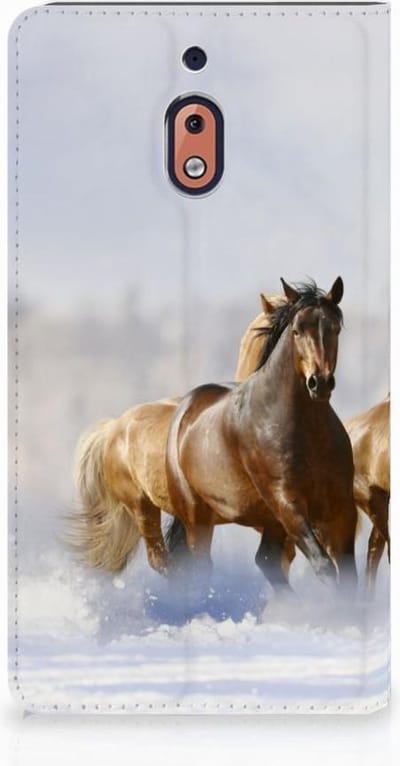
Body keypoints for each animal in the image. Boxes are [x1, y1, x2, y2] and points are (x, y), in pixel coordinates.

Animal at [165, 277, 358, 593]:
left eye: (334, 328)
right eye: (297, 330)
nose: (319, 383)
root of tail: (185, 409)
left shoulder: (341, 507)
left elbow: (349, 577)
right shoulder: (287, 503)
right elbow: (324, 566)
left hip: (269, 521)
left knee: (266, 560)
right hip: (197, 517)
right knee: (201, 567)